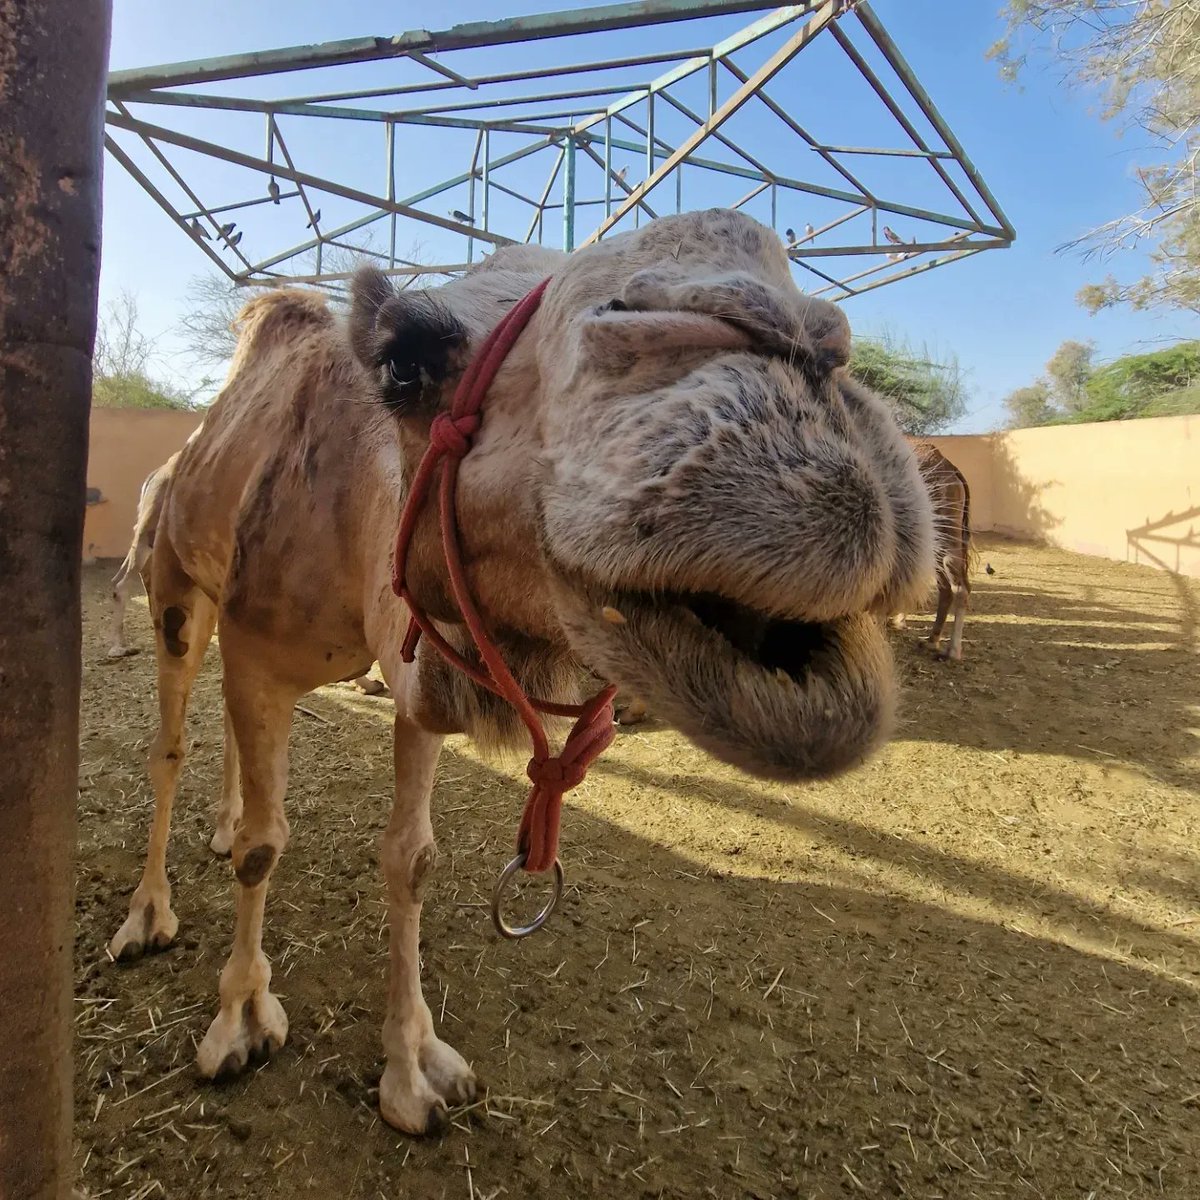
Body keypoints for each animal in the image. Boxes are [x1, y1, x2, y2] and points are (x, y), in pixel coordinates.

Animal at [108, 209, 934, 1136]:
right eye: (404, 361)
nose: (798, 355)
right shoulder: (261, 651)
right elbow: (264, 847)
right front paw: (240, 1024)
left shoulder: (415, 663)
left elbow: (411, 858)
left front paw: (414, 1072)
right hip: (174, 579)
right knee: (169, 742)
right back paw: (146, 917)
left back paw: (213, 830)